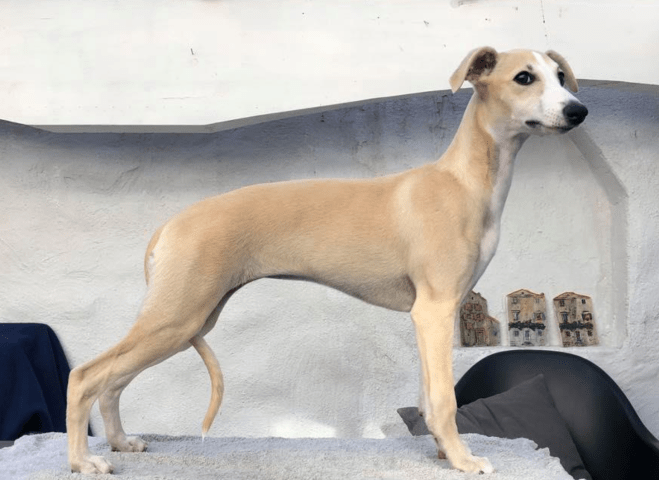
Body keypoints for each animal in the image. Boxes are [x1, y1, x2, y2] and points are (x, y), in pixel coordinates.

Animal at [66, 46, 587, 474]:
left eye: (561, 75)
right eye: (524, 77)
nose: (578, 110)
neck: (462, 181)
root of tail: (169, 224)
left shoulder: (430, 316)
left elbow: (427, 395)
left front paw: (444, 453)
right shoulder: (435, 309)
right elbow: (443, 399)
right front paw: (463, 460)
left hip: (188, 319)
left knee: (112, 382)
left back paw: (121, 444)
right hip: (177, 316)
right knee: (85, 375)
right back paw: (83, 460)